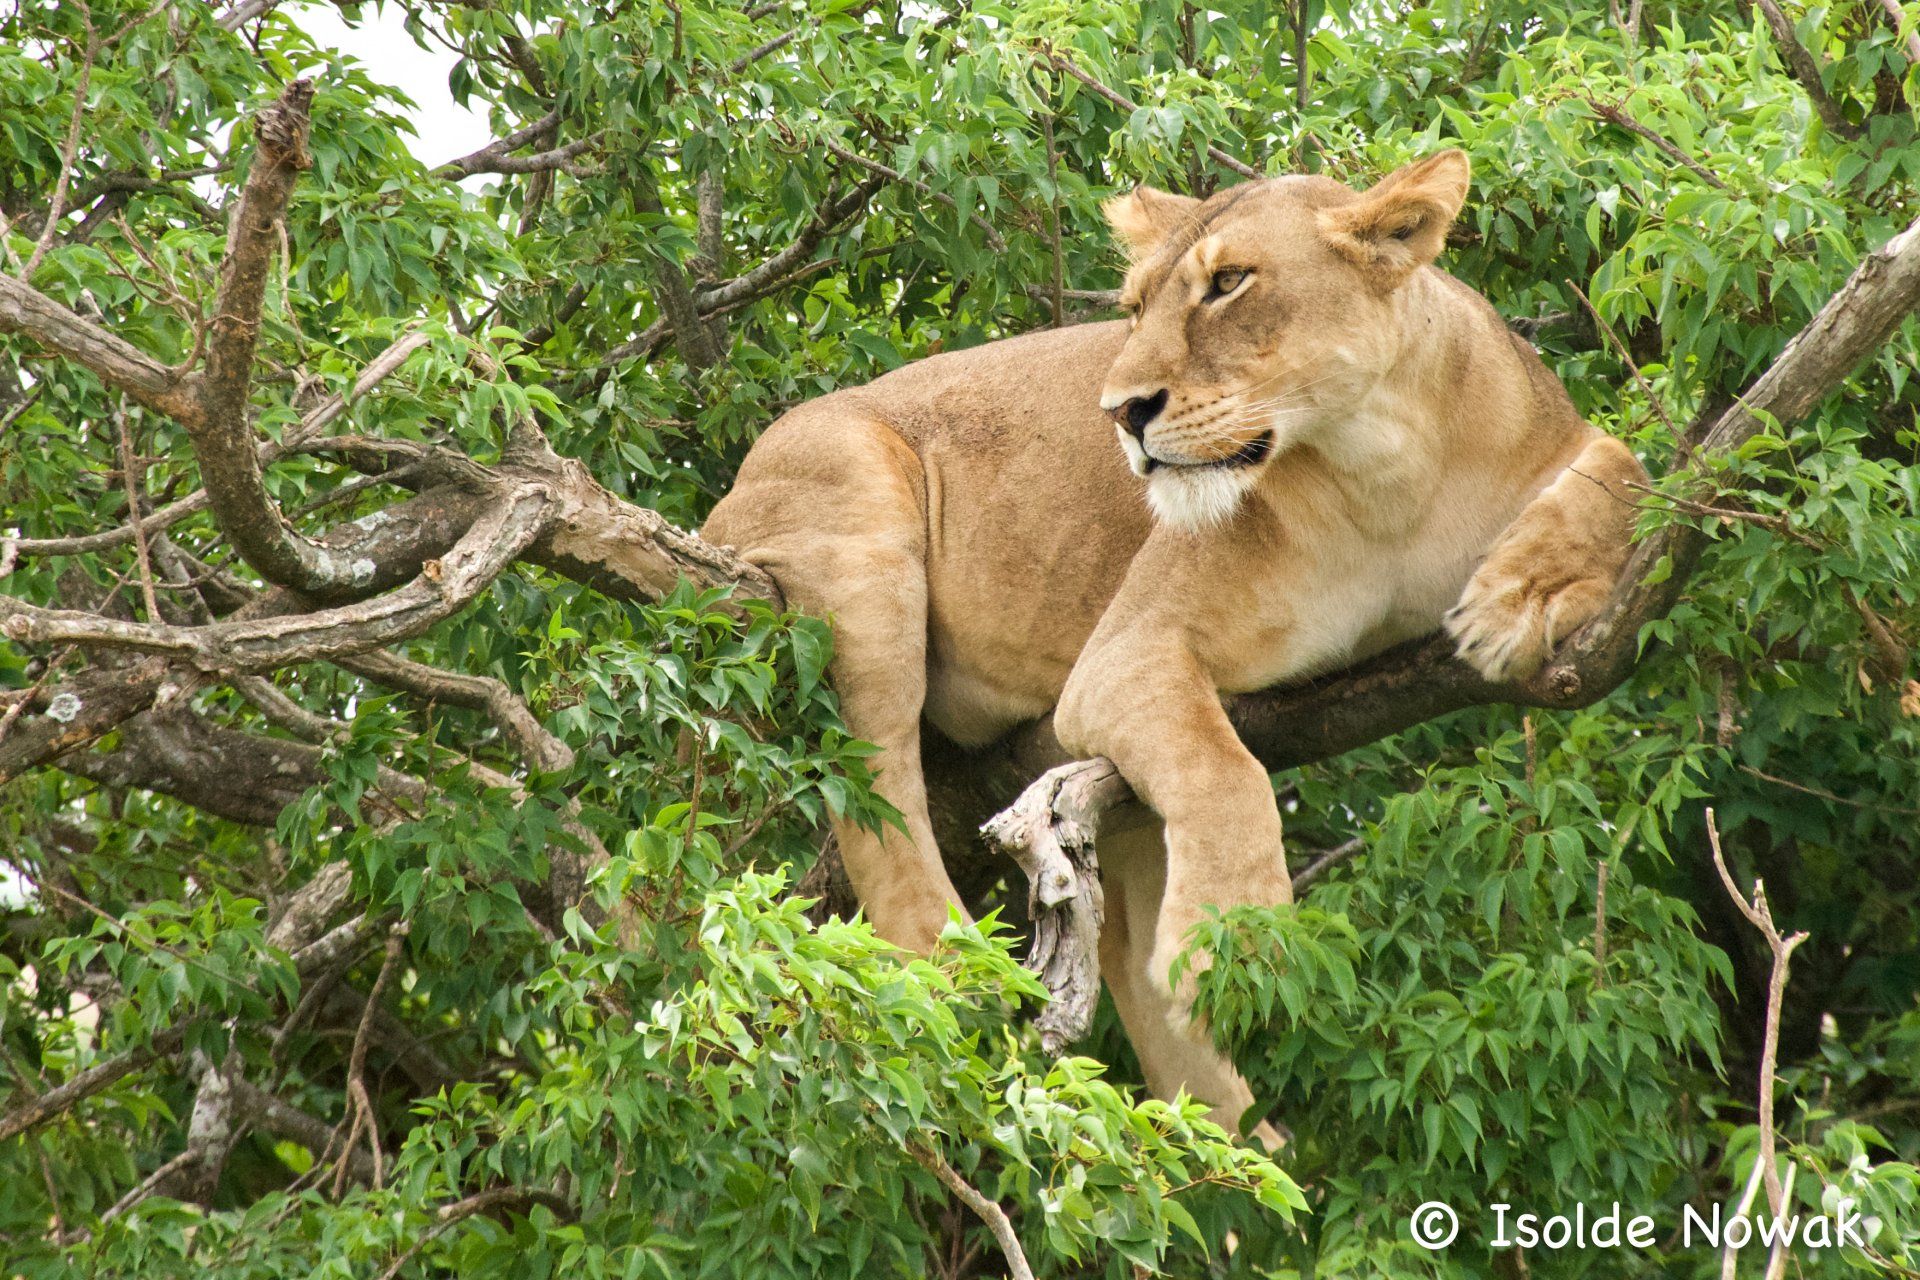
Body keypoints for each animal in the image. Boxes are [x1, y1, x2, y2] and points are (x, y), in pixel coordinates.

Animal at [702, 150, 1646, 1141]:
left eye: (1228, 284)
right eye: (1134, 305)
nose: (1123, 411)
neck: (1382, 466)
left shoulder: (1564, 438)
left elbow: (1627, 474)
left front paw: (1521, 601)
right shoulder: (1126, 652)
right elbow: (1226, 775)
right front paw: (1236, 945)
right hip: (858, 514)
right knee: (875, 795)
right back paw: (949, 967)